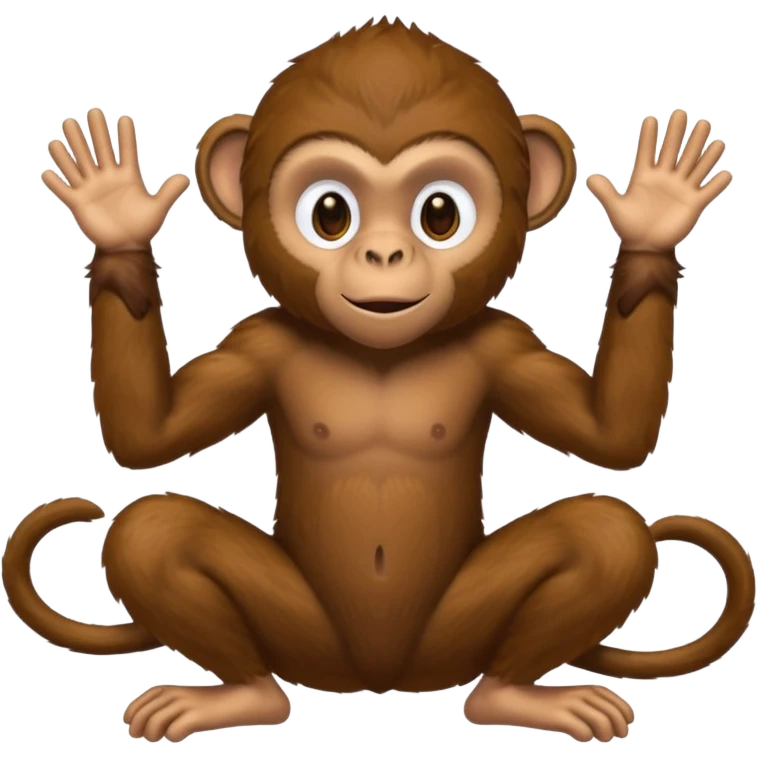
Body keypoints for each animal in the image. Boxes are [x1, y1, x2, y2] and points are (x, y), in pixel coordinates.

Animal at [4, 18, 754, 744]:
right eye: (330, 213)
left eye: (440, 214)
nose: (385, 253)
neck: (380, 353)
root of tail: (379, 680)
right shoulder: (259, 343)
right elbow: (146, 439)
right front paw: (116, 218)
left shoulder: (503, 343)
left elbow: (612, 439)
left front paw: (654, 219)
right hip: (301, 637)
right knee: (154, 531)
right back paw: (244, 692)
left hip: (457, 636)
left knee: (604, 532)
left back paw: (510, 692)